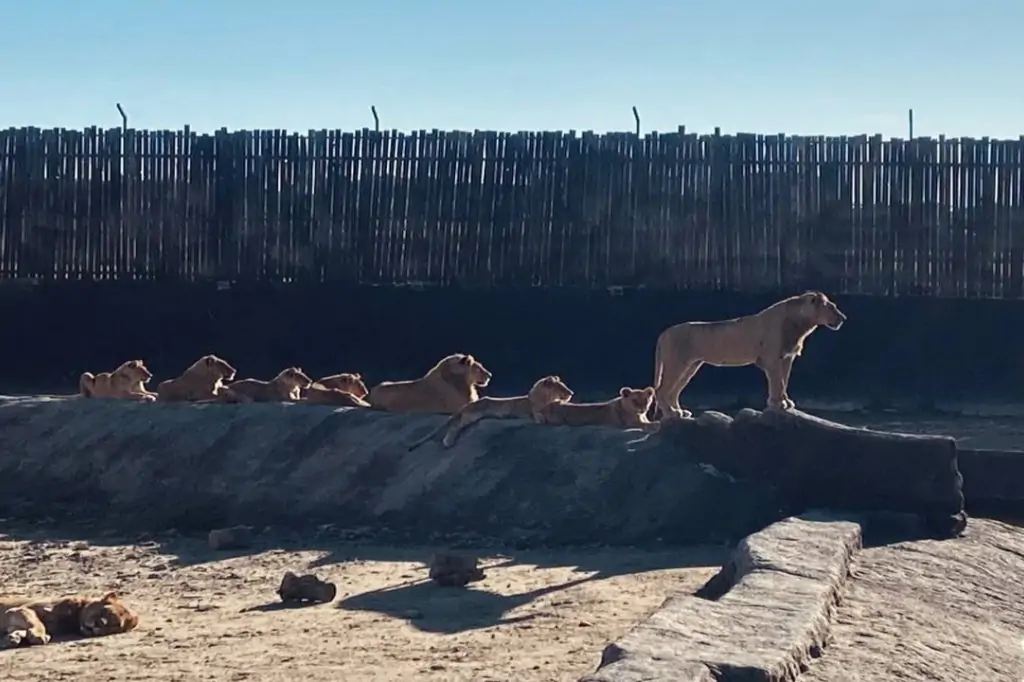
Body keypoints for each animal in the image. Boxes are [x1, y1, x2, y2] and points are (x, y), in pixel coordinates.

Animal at [0, 591, 139, 650]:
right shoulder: (19, 609)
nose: (99, 624)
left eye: (114, 625)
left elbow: (20, 630)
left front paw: (13, 639)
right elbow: (37, 622)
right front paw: (39, 636)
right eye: (105, 611)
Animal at [407, 375, 575, 450]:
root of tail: (467, 405)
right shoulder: (532, 409)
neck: (544, 396)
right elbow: (538, 414)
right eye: (561, 387)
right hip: (472, 415)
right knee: (455, 426)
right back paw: (448, 442)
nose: (571, 393)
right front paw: (541, 419)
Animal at [652, 291, 846, 419]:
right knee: (662, 390)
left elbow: (784, 381)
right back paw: (671, 413)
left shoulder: (787, 357)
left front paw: (785, 402)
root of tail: (664, 332)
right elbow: (777, 382)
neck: (801, 325)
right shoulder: (772, 358)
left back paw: (680, 412)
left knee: (673, 391)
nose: (843, 318)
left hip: (691, 366)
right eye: (832, 307)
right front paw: (777, 404)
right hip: (677, 363)